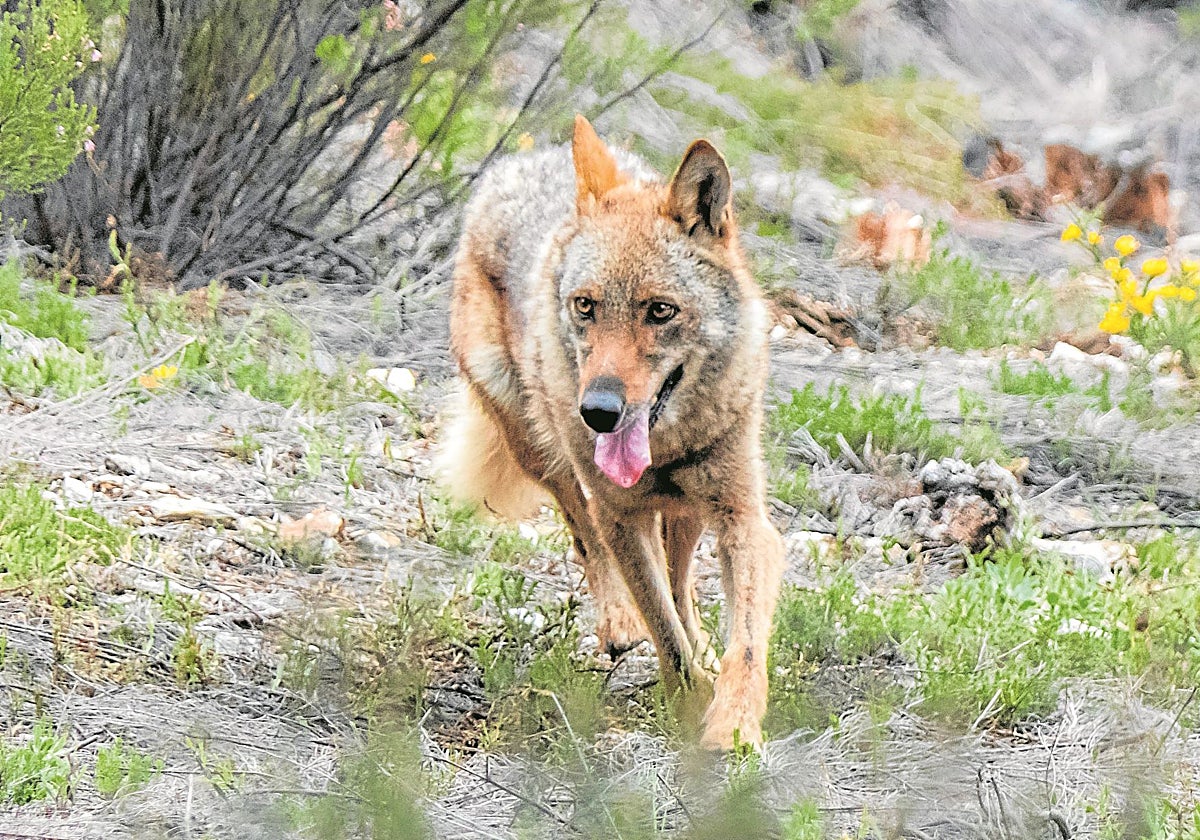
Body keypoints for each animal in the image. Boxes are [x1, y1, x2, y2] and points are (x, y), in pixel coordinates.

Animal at [441, 115, 784, 749]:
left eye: (660, 311)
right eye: (586, 306)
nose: (598, 411)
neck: (667, 447)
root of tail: (525, 162)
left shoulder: (744, 521)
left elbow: (743, 645)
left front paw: (732, 726)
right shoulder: (620, 514)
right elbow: (663, 632)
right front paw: (687, 704)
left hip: (687, 511)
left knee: (680, 580)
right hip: (544, 454)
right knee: (588, 537)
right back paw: (620, 624)